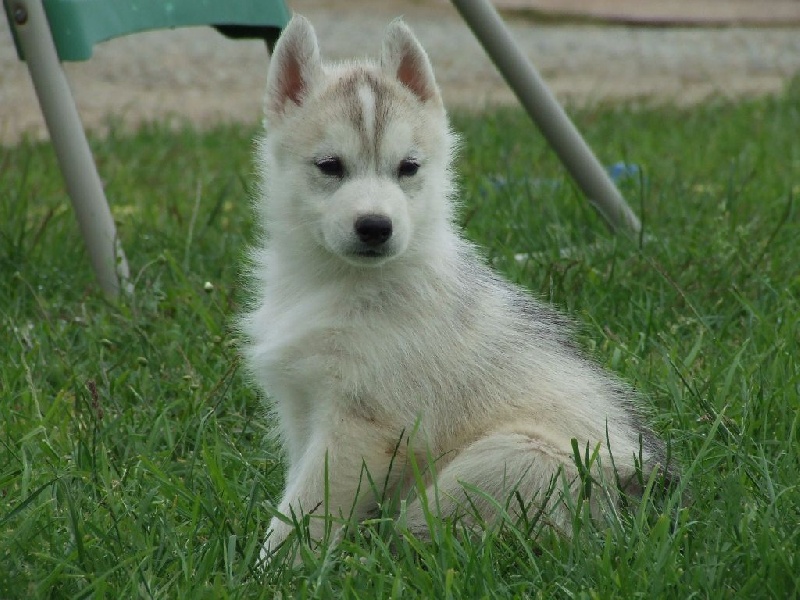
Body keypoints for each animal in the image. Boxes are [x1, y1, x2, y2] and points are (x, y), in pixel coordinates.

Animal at [244, 15, 668, 568]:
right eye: (329, 166)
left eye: (408, 167)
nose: (375, 227)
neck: (338, 282)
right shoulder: (303, 409)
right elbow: (297, 494)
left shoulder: (362, 425)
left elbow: (303, 511)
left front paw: (272, 572)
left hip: (512, 456)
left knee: (423, 538)